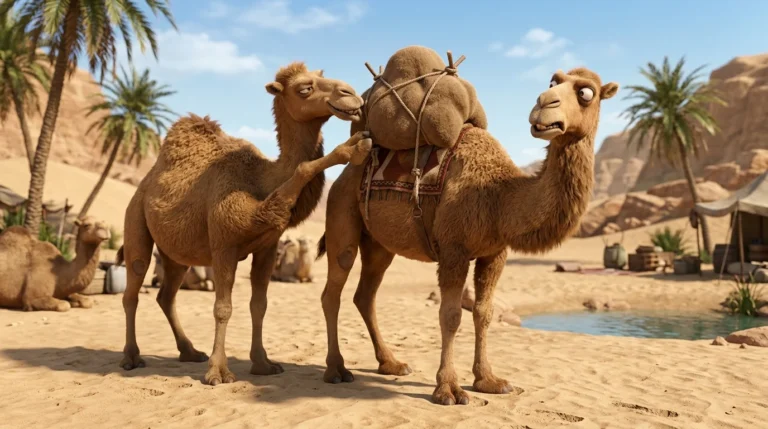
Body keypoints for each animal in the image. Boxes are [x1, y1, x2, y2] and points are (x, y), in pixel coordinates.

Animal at [116, 62, 372, 386]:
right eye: (304, 88)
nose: (351, 94)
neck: (261, 180)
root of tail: (144, 185)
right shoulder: (224, 243)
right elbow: (223, 308)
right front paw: (217, 373)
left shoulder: (267, 247)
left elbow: (259, 305)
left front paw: (263, 364)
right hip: (135, 218)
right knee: (132, 290)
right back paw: (131, 357)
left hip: (176, 254)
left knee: (166, 295)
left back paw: (190, 351)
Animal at [318, 68, 618, 405]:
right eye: (553, 83)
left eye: (586, 92)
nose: (544, 103)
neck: (499, 194)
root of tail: (344, 175)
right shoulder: (453, 249)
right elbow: (450, 315)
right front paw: (448, 389)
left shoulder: (494, 253)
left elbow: (484, 313)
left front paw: (489, 380)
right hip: (341, 210)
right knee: (333, 290)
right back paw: (336, 370)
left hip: (380, 244)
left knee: (365, 295)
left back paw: (392, 363)